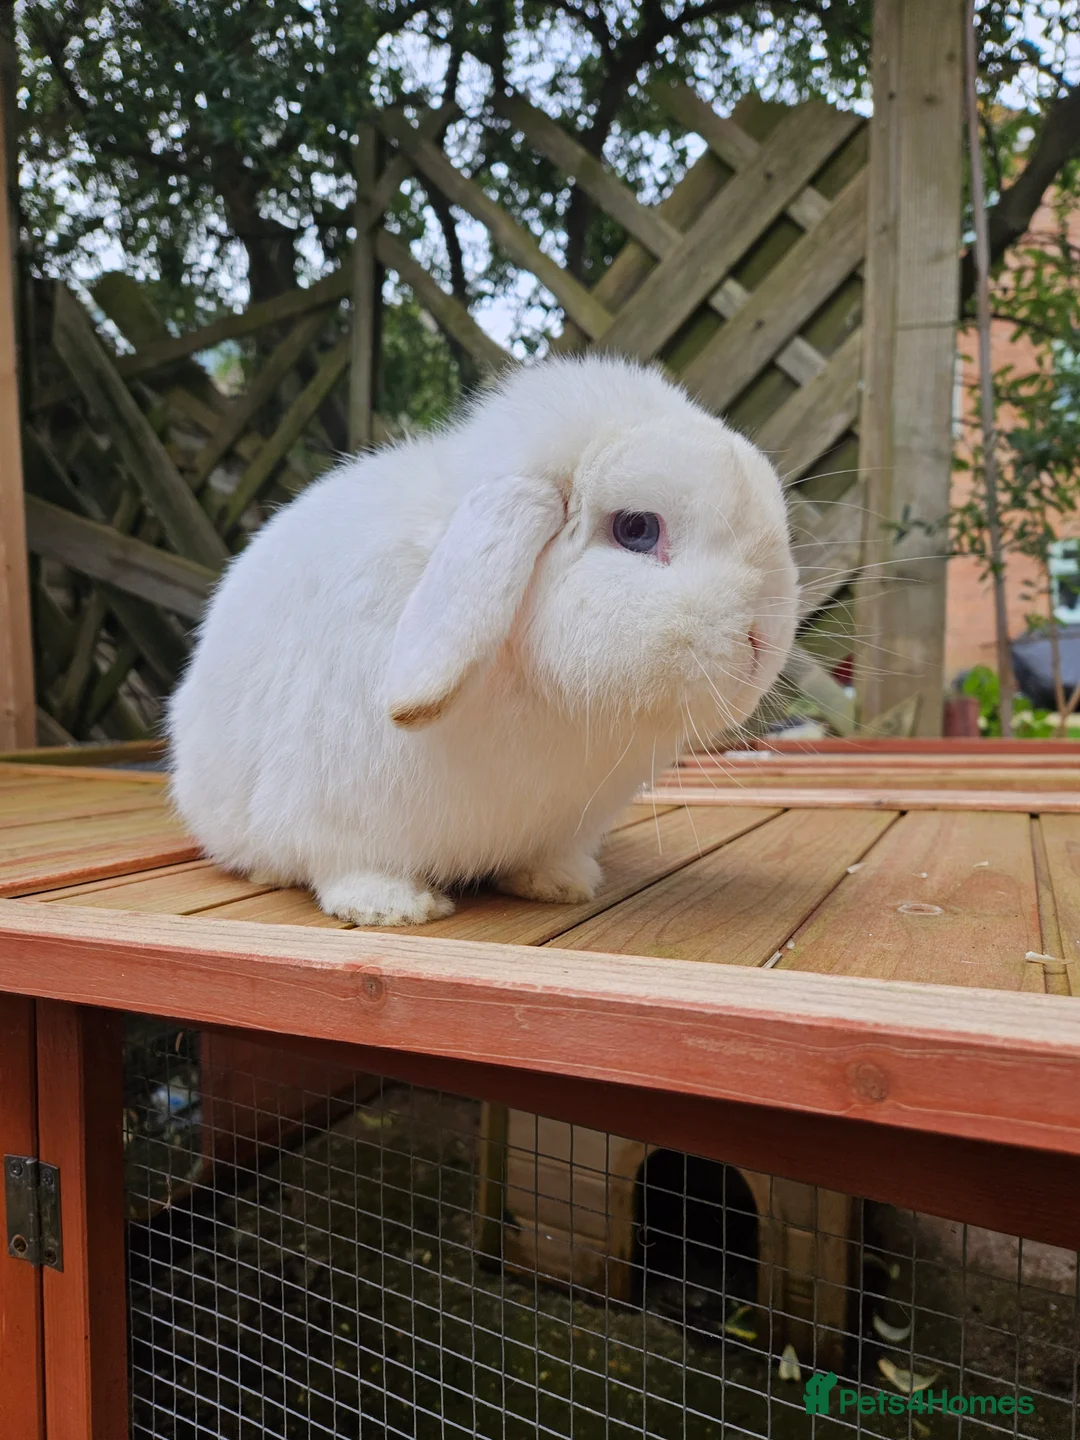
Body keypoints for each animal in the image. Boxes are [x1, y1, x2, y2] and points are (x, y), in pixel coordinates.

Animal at [167, 354, 798, 926]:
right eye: (637, 528)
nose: (760, 641)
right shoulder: (331, 806)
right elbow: (351, 864)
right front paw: (393, 907)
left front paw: (560, 884)